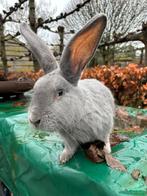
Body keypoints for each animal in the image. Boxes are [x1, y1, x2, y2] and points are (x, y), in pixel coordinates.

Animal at [20, 14, 115, 164]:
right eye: (34, 89)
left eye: (60, 93)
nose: (34, 120)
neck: (75, 119)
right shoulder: (68, 138)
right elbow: (70, 147)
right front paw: (63, 158)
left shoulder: (104, 127)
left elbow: (105, 139)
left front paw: (107, 151)